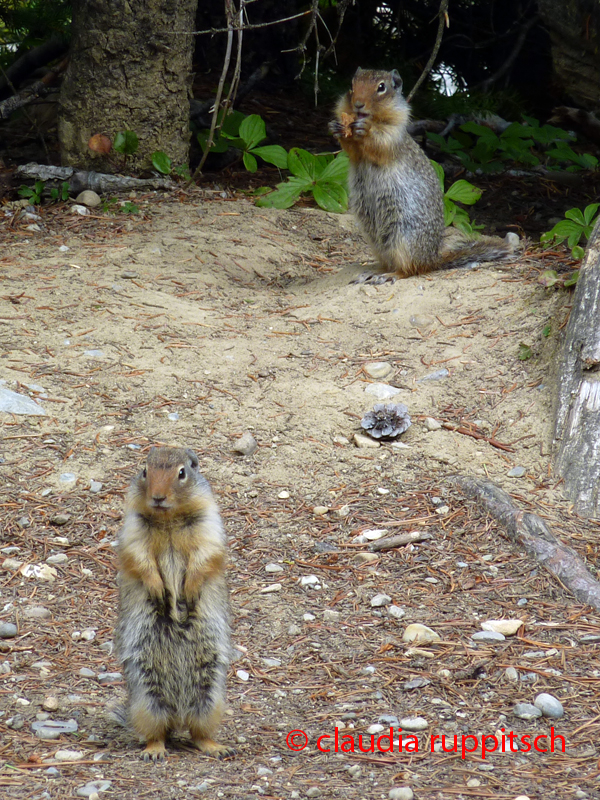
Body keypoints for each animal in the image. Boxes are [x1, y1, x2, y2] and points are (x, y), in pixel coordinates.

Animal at [115, 444, 234, 764]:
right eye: (144, 470)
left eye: (182, 473)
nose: (157, 496)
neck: (167, 518)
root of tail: (177, 717)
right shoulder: (133, 528)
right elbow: (140, 558)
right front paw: (159, 591)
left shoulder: (209, 525)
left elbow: (205, 556)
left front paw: (189, 592)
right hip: (147, 698)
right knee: (156, 732)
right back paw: (154, 751)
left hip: (210, 698)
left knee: (199, 732)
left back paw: (218, 747)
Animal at [328, 69, 516, 282]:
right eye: (352, 85)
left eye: (381, 87)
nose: (358, 104)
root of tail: (432, 259)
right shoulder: (356, 152)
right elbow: (351, 151)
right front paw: (336, 127)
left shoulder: (393, 135)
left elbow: (380, 143)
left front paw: (365, 128)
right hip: (375, 240)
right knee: (389, 262)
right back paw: (372, 272)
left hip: (402, 237)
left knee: (409, 269)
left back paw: (388, 276)